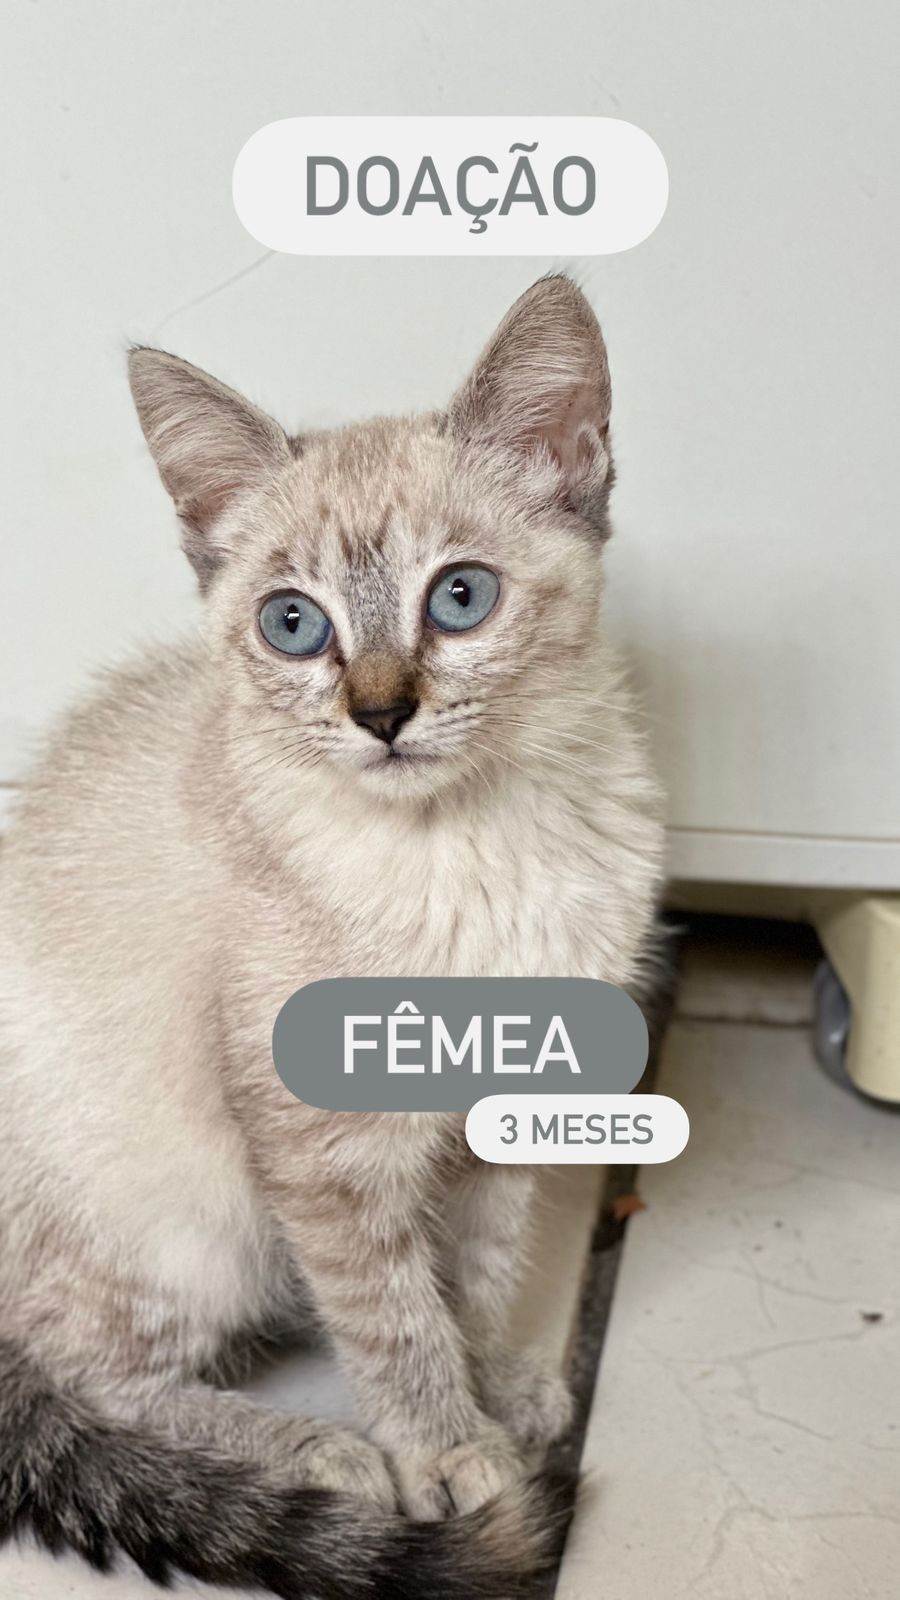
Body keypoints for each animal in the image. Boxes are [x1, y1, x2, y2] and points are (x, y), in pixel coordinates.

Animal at [0, 275, 664, 1598]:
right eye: (293, 624)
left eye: (460, 596)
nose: (381, 713)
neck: (467, 847)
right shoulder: (324, 1147)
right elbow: (393, 1315)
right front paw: (448, 1452)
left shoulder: (510, 1102)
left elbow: (480, 1271)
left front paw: (499, 1390)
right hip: (183, 1209)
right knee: (71, 1367)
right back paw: (315, 1452)